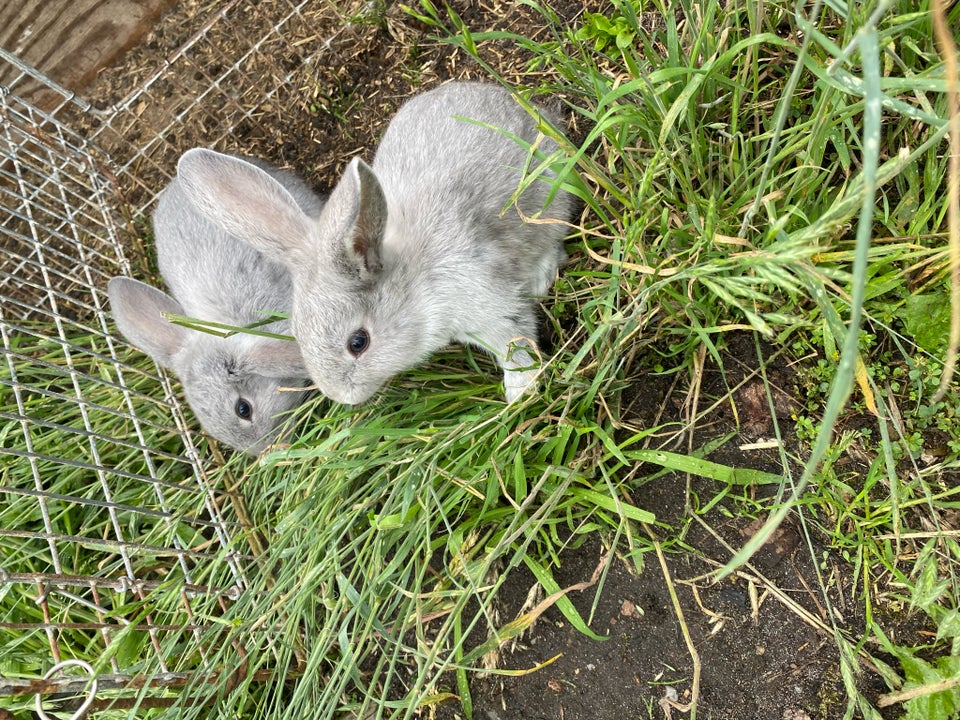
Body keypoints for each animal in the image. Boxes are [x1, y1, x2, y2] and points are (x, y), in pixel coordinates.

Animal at [174, 83, 576, 404]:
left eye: (358, 342)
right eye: (299, 337)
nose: (343, 396)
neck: (416, 282)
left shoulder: (487, 303)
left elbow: (515, 341)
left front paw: (520, 393)